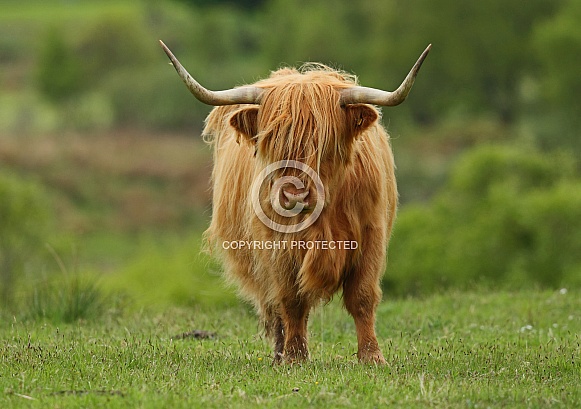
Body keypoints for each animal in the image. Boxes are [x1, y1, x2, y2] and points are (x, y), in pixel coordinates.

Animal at [161, 39, 428, 362]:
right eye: (271, 142)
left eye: (325, 144)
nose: (292, 194)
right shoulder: (275, 245)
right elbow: (291, 300)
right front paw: (295, 356)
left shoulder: (371, 236)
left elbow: (362, 297)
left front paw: (372, 356)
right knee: (275, 305)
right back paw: (279, 354)